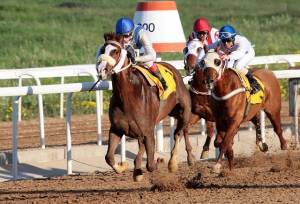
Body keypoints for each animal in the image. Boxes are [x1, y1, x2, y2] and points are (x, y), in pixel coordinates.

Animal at [97, 33, 193, 182]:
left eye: (115, 51)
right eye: (102, 49)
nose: (101, 70)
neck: (127, 97)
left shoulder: (148, 131)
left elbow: (150, 165)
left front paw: (160, 161)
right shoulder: (116, 129)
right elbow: (109, 157)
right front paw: (124, 166)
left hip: (184, 111)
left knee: (179, 132)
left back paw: (174, 162)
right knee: (182, 130)